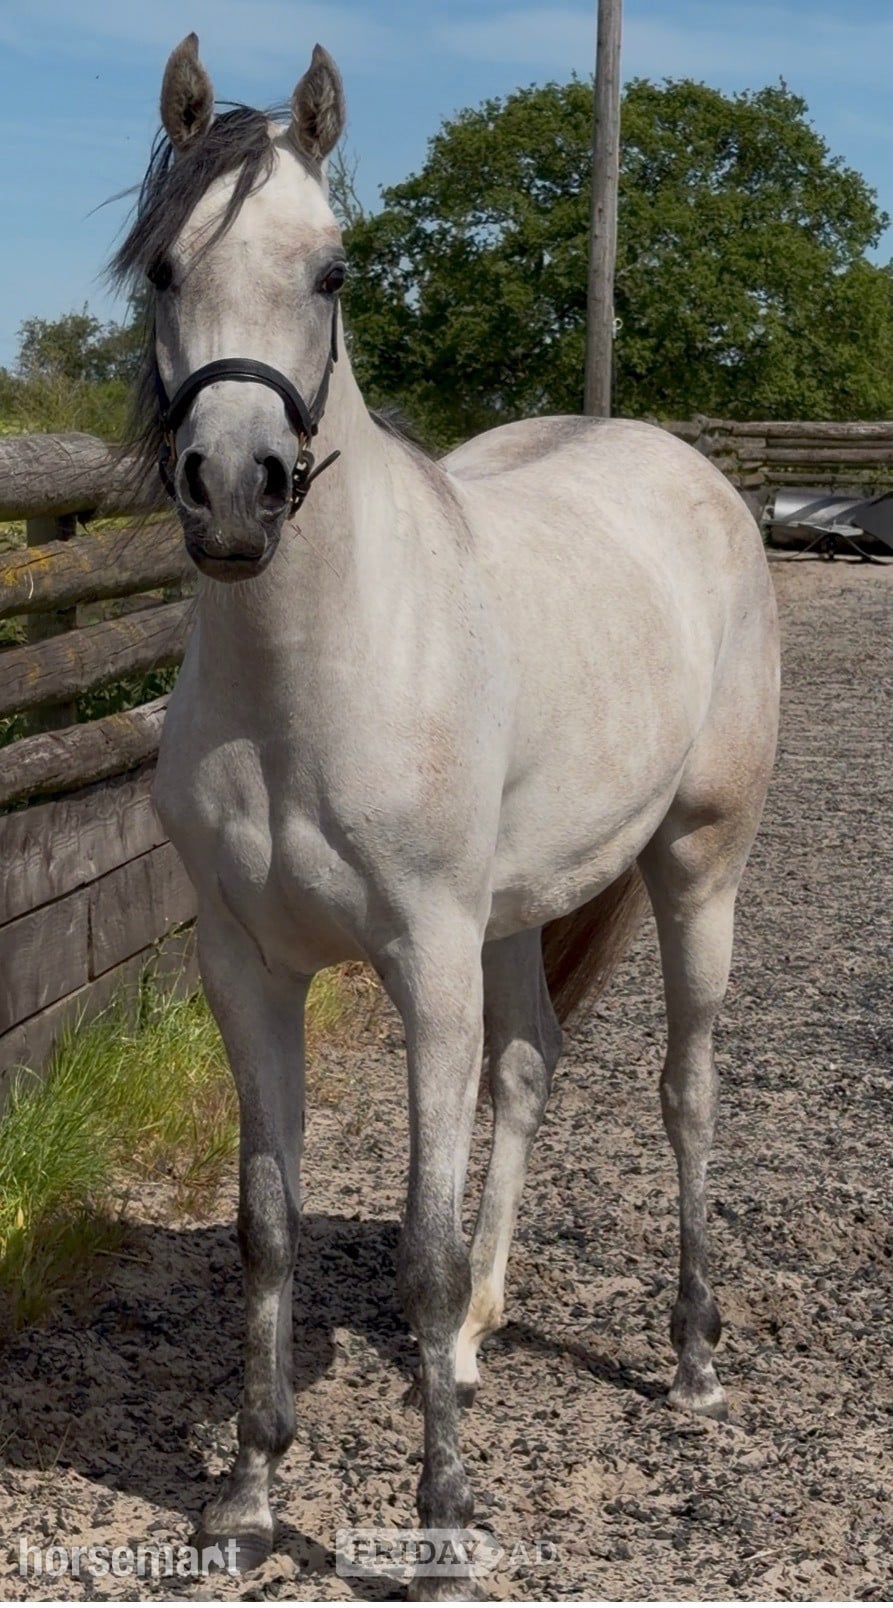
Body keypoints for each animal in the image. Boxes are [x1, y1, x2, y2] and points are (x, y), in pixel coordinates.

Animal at [112, 33, 780, 1589]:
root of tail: (689, 469)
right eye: (164, 266)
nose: (234, 497)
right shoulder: (250, 968)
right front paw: (247, 1499)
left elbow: (407, 1245)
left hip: (694, 865)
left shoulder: (420, 961)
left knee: (685, 1092)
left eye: (334, 269)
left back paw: (692, 1362)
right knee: (529, 1068)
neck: (317, 666)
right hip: (513, 915)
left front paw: (439, 1519)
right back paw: (476, 1334)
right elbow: (267, 1229)